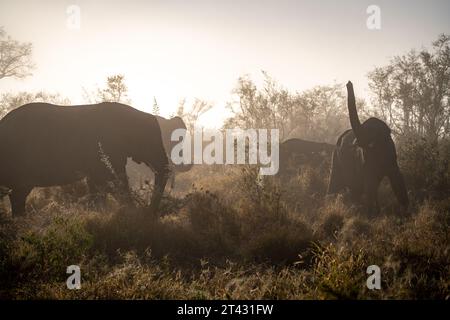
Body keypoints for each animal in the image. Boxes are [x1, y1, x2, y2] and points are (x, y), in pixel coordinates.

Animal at [0, 102, 169, 218]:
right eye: (150, 141)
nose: (149, 213)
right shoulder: (106, 147)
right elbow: (113, 180)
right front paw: (131, 213)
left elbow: (98, 184)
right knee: (19, 193)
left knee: (18, 194)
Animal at [326, 81, 410, 216]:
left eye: (370, 134)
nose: (348, 83)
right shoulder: (364, 157)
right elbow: (370, 181)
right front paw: (372, 215)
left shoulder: (391, 152)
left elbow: (396, 175)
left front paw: (405, 213)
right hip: (336, 156)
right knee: (338, 181)